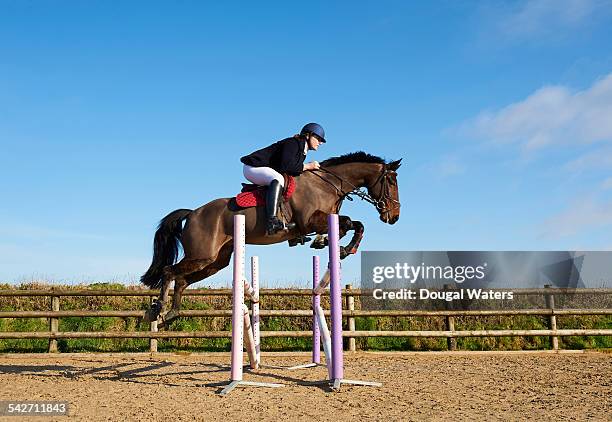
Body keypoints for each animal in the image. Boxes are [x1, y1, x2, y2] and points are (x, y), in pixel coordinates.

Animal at [141, 152, 404, 326]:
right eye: (391, 181)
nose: (394, 217)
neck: (328, 184)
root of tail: (193, 213)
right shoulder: (310, 220)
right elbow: (350, 223)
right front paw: (337, 246)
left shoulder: (326, 219)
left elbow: (353, 225)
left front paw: (334, 246)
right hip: (202, 255)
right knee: (169, 271)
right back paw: (158, 310)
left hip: (216, 261)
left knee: (181, 280)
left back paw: (171, 314)